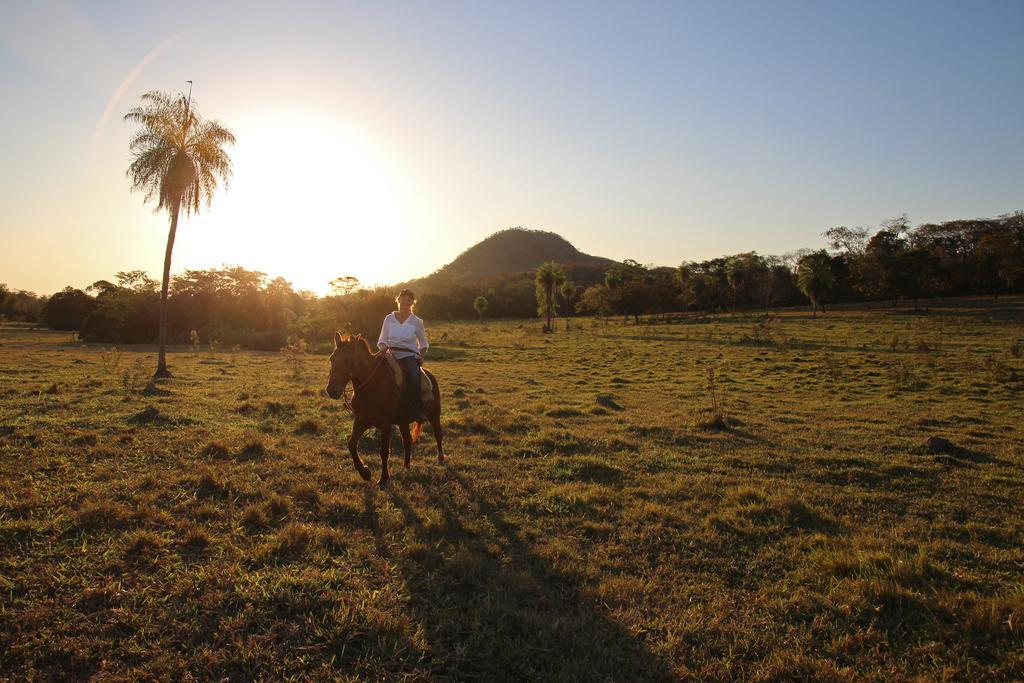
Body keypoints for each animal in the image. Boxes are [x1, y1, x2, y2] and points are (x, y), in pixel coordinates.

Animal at [325, 331, 442, 485]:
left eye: (347, 359)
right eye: (332, 358)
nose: (332, 390)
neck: (371, 387)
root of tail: (429, 374)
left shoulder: (386, 424)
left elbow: (384, 451)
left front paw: (383, 478)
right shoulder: (361, 421)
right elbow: (351, 444)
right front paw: (365, 472)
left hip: (434, 415)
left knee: (438, 434)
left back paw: (440, 459)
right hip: (403, 421)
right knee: (407, 441)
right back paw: (406, 467)